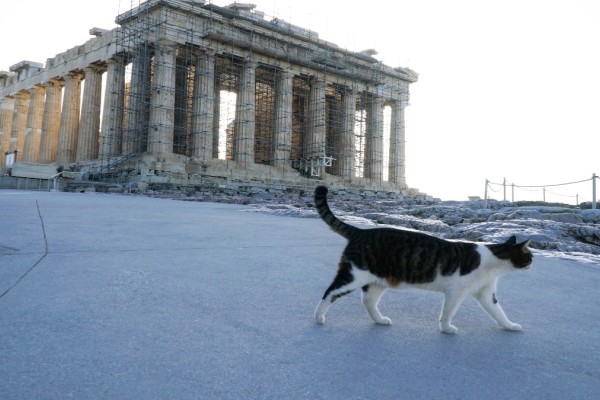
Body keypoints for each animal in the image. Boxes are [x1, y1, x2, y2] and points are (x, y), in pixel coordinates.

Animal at [312, 186, 532, 332]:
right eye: (529, 256)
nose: (532, 262)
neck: (494, 260)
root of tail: (361, 232)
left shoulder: (486, 293)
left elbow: (499, 313)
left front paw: (510, 326)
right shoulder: (456, 291)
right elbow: (448, 312)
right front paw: (447, 328)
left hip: (377, 280)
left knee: (367, 300)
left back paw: (380, 320)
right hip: (354, 274)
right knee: (330, 292)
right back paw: (319, 316)